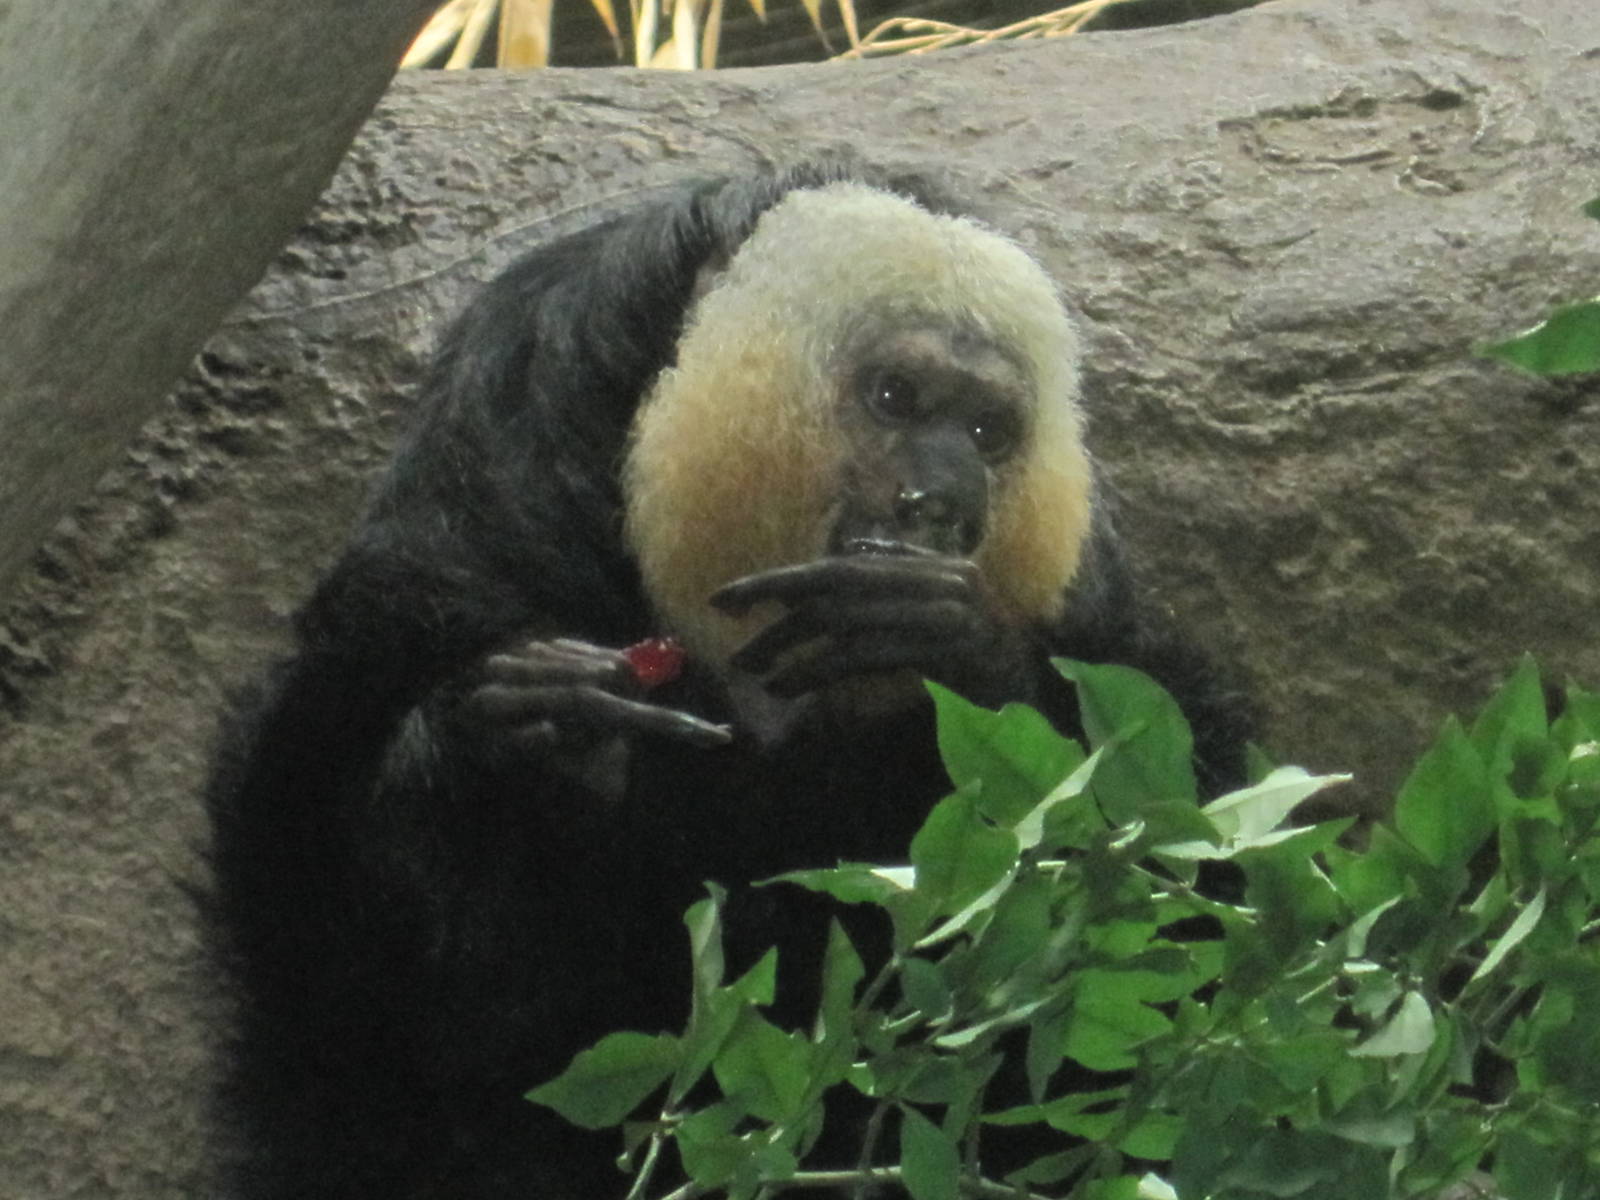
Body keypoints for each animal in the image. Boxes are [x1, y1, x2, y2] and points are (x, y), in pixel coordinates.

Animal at [203, 161, 1252, 1200]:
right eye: (896, 397)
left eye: (988, 430)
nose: (943, 503)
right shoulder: (462, 523)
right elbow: (367, 984)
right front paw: (511, 743)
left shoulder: (1095, 611)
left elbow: (1191, 877)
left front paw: (950, 642)